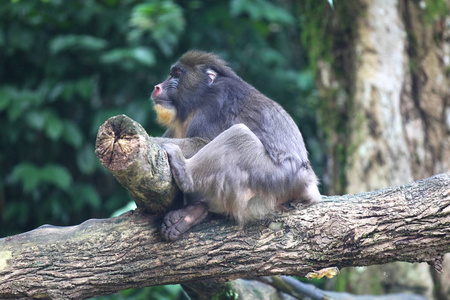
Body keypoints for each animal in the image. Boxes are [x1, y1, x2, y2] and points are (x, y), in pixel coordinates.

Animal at [151, 49, 320, 241]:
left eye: (178, 74)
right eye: (171, 74)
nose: (157, 87)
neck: (199, 97)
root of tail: (308, 183)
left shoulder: (214, 105)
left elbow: (203, 143)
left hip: (275, 179)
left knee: (239, 136)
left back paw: (185, 174)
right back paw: (190, 215)